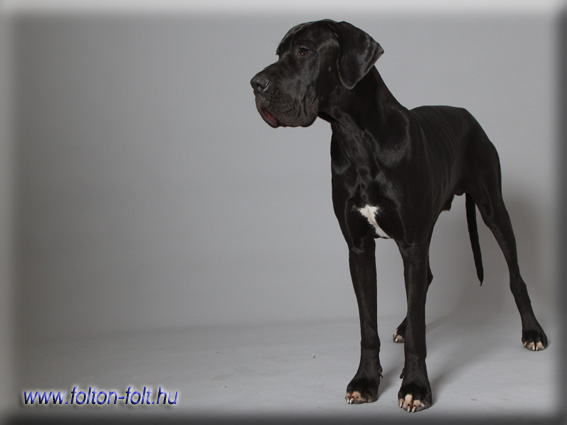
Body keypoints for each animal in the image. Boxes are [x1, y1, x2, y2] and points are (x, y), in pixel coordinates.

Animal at [250, 19, 547, 412]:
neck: (356, 137)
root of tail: (466, 114)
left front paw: (416, 386)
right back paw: (405, 325)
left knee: (515, 276)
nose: (255, 84)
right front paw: (365, 381)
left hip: (493, 209)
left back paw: (533, 331)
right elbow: (368, 324)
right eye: (279, 53)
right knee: (425, 282)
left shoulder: (411, 242)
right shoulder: (360, 248)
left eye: (304, 51)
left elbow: (419, 330)